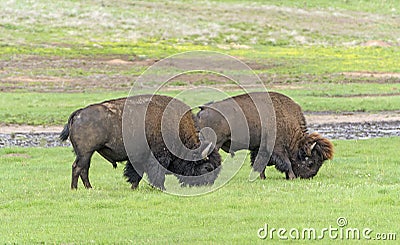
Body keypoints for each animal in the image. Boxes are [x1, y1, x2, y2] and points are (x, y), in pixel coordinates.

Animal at [59, 94, 222, 189]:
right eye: (207, 167)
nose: (207, 184)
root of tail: (78, 113)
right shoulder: (157, 157)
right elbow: (156, 174)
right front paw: (160, 188)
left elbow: (136, 173)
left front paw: (134, 187)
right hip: (86, 153)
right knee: (78, 168)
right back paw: (76, 189)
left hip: (86, 154)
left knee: (83, 169)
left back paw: (88, 188)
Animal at [195, 91, 332, 179]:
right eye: (311, 162)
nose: (309, 177)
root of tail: (204, 109)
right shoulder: (278, 148)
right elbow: (286, 162)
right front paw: (292, 176)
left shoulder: (260, 148)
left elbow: (259, 163)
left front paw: (262, 177)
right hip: (215, 144)